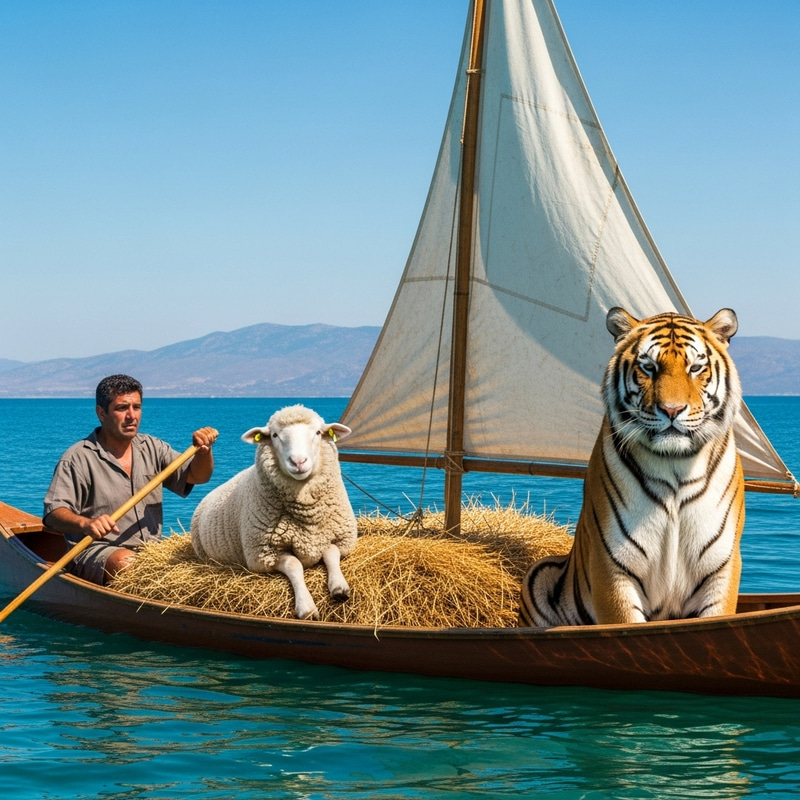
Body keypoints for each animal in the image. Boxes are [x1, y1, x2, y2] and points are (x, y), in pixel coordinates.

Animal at [190, 404, 357, 620]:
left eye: (318, 433)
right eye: (275, 435)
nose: (298, 461)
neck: (308, 515)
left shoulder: (340, 538)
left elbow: (331, 553)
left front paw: (339, 587)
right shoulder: (265, 554)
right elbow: (294, 565)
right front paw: (306, 607)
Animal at [519, 307, 745, 627]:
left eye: (695, 368)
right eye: (649, 367)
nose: (672, 410)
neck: (675, 465)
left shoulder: (720, 566)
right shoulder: (612, 564)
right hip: (539, 573)